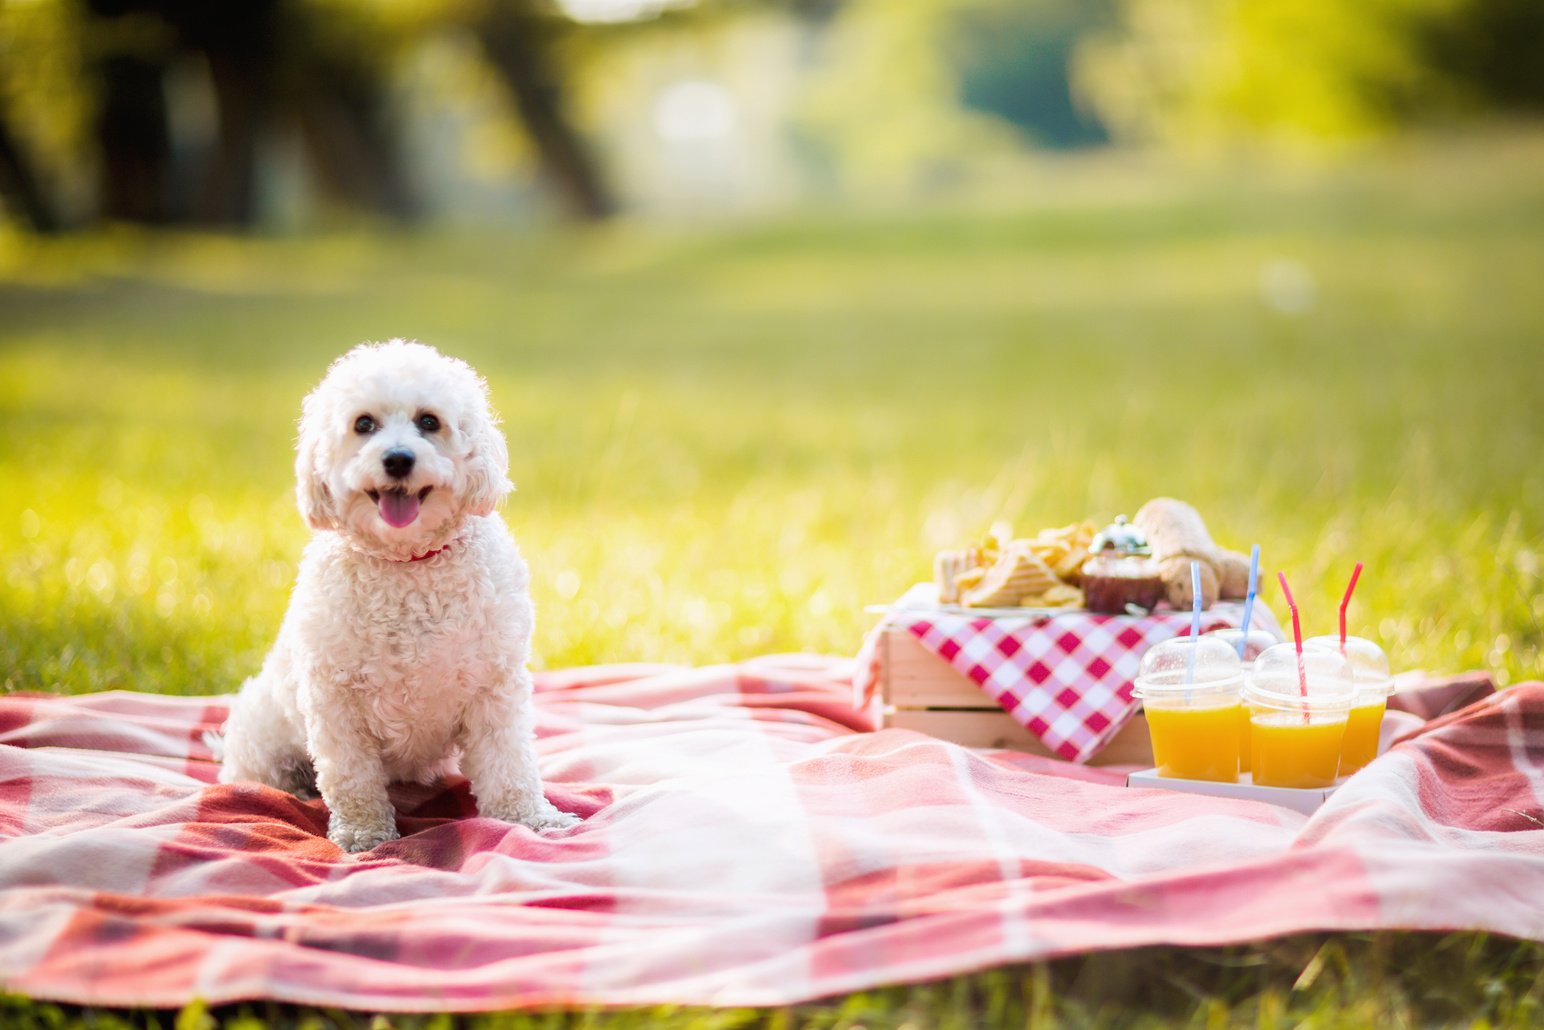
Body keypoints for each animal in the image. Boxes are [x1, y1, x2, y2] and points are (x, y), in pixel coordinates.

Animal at [219, 338, 580, 852]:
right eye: (363, 424)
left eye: (429, 421)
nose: (397, 459)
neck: (408, 564)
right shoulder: (336, 703)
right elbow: (352, 779)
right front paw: (363, 834)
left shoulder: (494, 689)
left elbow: (509, 765)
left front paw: (531, 818)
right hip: (263, 739)